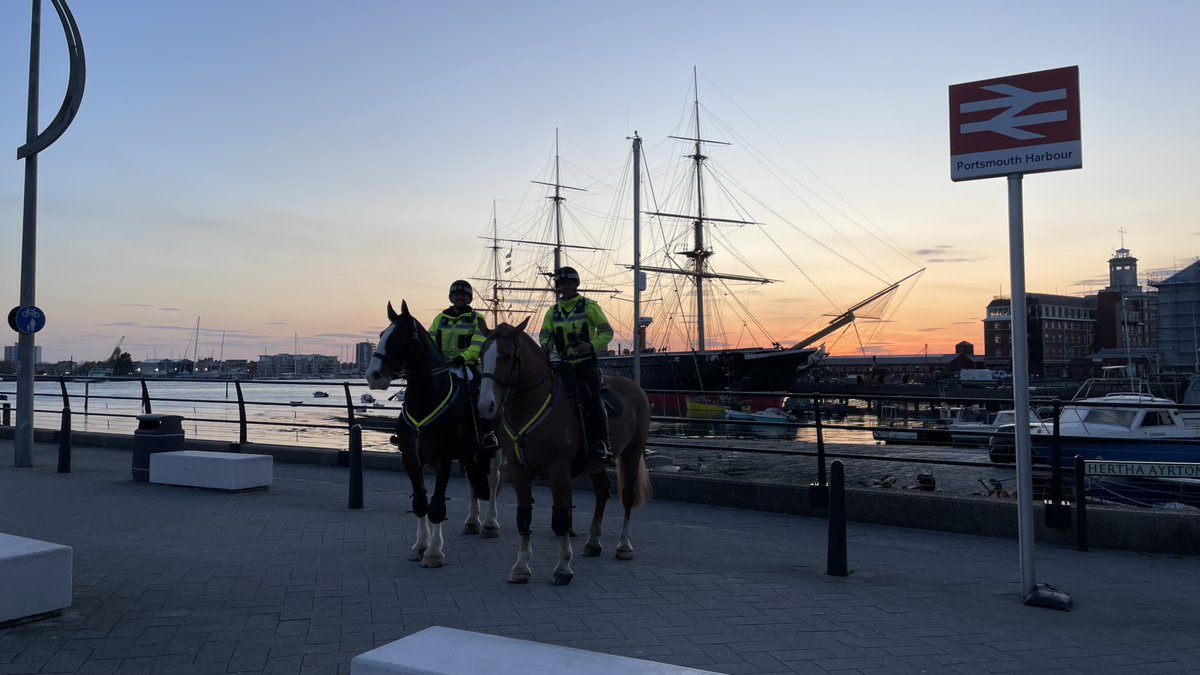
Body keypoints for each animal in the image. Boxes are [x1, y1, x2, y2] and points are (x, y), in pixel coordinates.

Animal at [362, 296, 499, 564]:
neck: (427, 399)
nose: (373, 375)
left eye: (399, 336)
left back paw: (490, 523)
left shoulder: (442, 459)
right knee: (473, 480)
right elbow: (420, 502)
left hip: (495, 449)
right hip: (469, 452)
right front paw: (419, 546)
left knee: (493, 480)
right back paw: (472, 521)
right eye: (382, 334)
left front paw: (434, 551)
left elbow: (436, 505)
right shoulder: (410, 458)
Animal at [475, 317, 652, 581]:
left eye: (506, 356)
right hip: (595, 463)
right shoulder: (519, 471)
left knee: (627, 497)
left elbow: (560, 517)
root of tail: (634, 386)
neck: (534, 403)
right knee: (602, 491)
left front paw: (563, 566)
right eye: (481, 354)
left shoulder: (558, 471)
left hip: (632, 452)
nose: (486, 405)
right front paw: (521, 566)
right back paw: (593, 542)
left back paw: (623, 546)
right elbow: (523, 516)